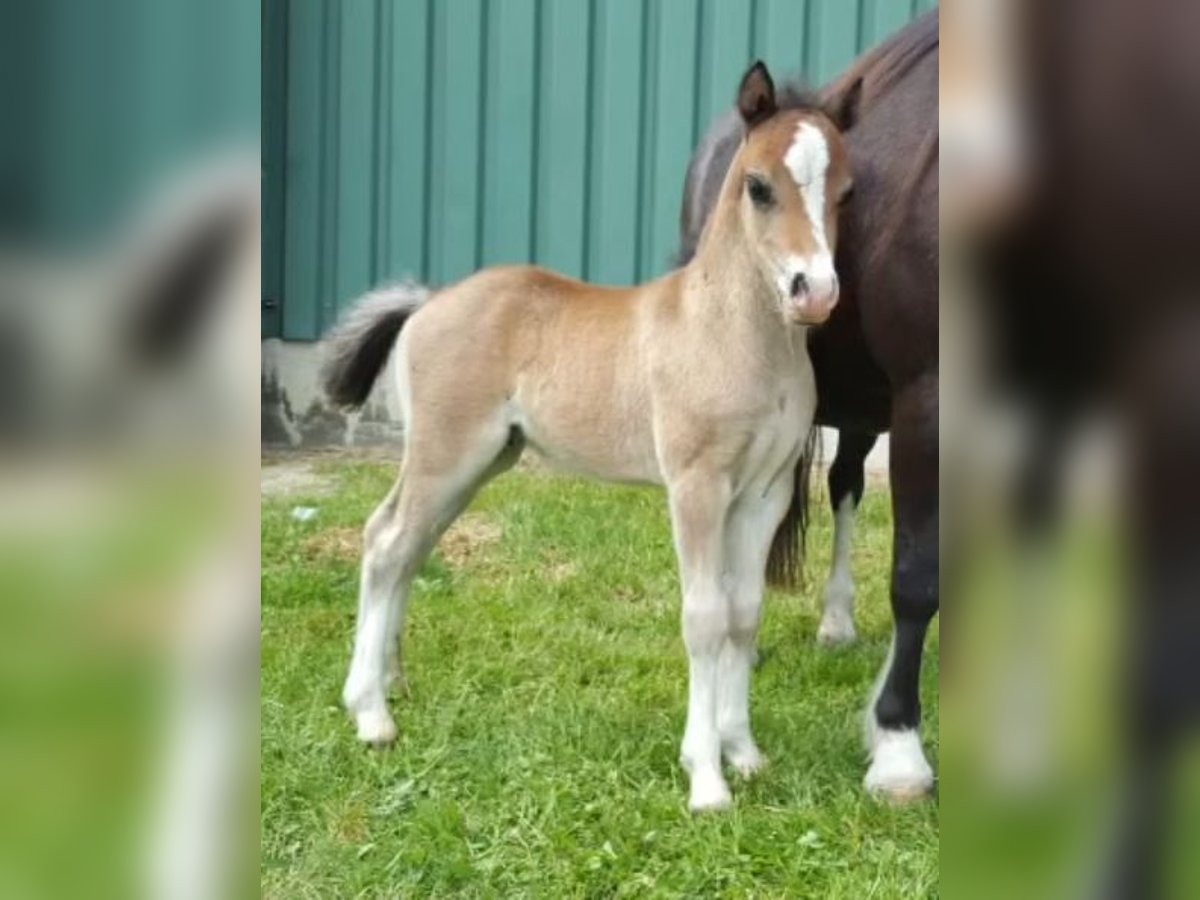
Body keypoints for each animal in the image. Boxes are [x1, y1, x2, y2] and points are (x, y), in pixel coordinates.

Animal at [319, 61, 854, 811]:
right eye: (758, 186)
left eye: (845, 189)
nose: (816, 292)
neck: (735, 335)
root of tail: (429, 301)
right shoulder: (697, 486)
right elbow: (705, 618)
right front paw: (706, 778)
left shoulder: (763, 492)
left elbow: (744, 615)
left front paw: (744, 754)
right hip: (444, 454)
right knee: (387, 543)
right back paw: (370, 713)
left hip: (479, 462)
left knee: (406, 547)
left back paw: (393, 684)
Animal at [681, 12, 940, 801]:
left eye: (851, 195)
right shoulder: (928, 401)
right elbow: (918, 578)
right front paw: (899, 750)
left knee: (845, 484)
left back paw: (835, 622)